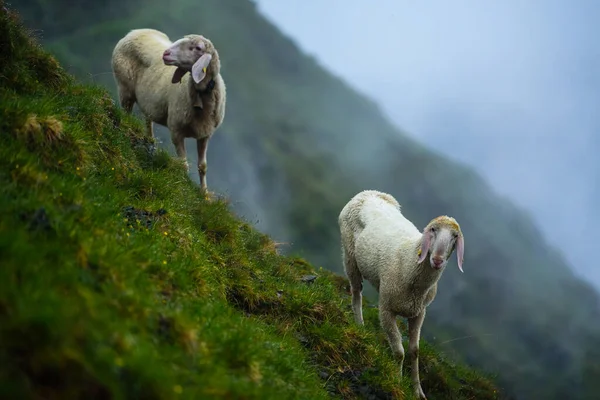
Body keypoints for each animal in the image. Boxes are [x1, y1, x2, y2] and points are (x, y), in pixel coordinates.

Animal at [111, 28, 226, 192]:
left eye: (198, 48)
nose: (165, 54)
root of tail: (135, 31)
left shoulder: (205, 134)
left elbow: (203, 166)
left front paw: (204, 194)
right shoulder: (176, 130)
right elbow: (183, 165)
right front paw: (184, 186)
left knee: (148, 119)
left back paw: (150, 140)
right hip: (125, 89)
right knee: (125, 113)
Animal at [338, 189, 464, 398]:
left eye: (455, 236)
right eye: (433, 230)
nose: (437, 260)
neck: (410, 262)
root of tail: (369, 192)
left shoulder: (419, 313)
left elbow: (414, 351)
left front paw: (417, 390)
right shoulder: (386, 309)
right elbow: (399, 351)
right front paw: (396, 382)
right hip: (350, 257)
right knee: (356, 293)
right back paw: (360, 325)